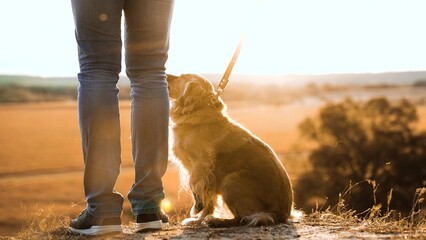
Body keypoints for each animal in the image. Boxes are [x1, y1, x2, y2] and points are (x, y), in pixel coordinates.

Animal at [166, 73, 292, 227]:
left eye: (181, 76)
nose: (165, 74)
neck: (198, 111)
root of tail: (281, 215)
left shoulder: (202, 166)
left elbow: (196, 188)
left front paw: (198, 214)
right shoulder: (208, 174)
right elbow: (209, 200)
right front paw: (200, 217)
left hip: (231, 180)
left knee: (241, 218)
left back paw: (217, 221)